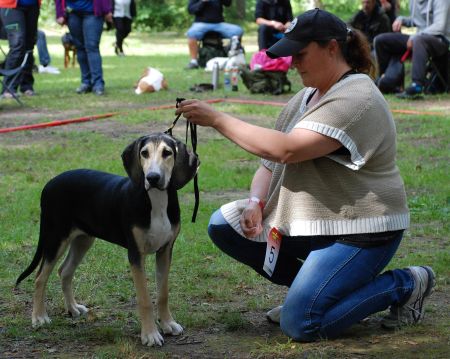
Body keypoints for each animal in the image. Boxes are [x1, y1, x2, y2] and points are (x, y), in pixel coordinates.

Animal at [14, 134, 200, 348]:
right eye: (144, 153)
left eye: (167, 153)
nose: (152, 178)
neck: (156, 201)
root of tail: (49, 184)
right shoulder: (136, 254)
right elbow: (144, 299)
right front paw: (150, 334)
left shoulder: (165, 251)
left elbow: (163, 294)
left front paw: (168, 324)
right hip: (56, 238)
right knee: (40, 277)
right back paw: (39, 318)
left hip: (83, 240)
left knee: (64, 271)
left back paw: (72, 308)